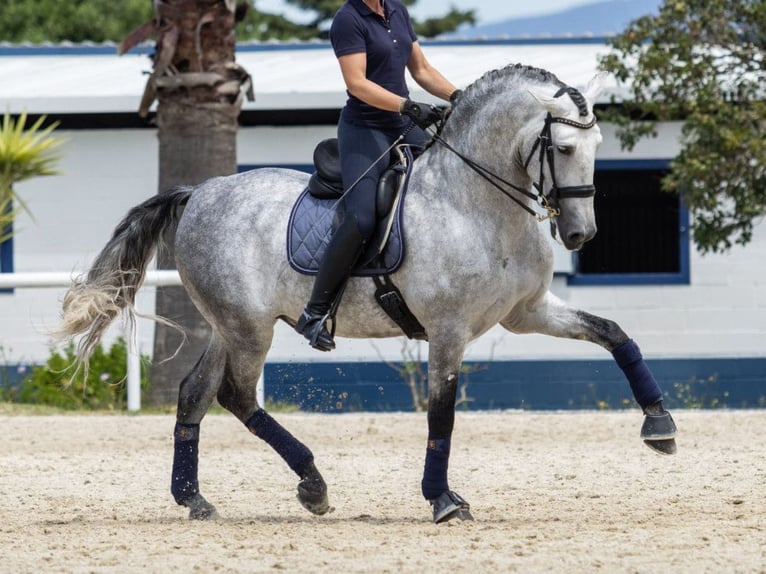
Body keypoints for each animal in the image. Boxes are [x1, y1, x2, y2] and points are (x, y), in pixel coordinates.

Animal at [57, 64, 680, 528]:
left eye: (597, 143)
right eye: (565, 146)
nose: (580, 235)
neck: (476, 203)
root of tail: (199, 192)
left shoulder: (528, 313)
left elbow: (615, 335)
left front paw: (659, 424)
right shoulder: (448, 331)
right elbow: (442, 413)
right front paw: (443, 500)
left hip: (226, 326)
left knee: (196, 394)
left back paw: (198, 498)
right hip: (247, 328)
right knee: (235, 394)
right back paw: (311, 484)